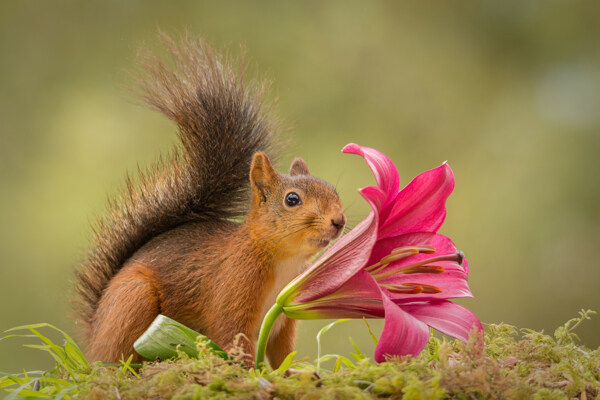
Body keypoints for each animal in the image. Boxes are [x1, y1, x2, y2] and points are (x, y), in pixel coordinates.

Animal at [74, 34, 346, 368]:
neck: (284, 259)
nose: (339, 221)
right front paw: (249, 372)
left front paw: (294, 372)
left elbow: (283, 352)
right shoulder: (232, 291)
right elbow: (232, 336)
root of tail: (95, 331)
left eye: (333, 191)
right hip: (134, 300)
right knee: (118, 358)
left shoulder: (283, 318)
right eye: (292, 200)